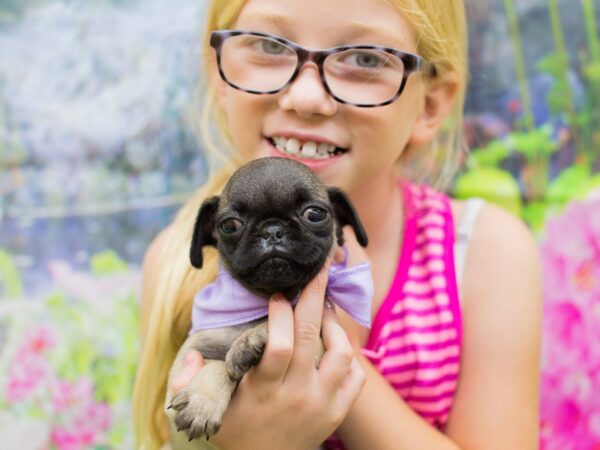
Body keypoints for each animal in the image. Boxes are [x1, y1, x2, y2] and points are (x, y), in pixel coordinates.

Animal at [166, 157, 368, 442]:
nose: (272, 230)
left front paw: (253, 337)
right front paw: (202, 400)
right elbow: (216, 364)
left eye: (315, 214)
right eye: (229, 226)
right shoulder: (185, 360)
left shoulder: (321, 347)